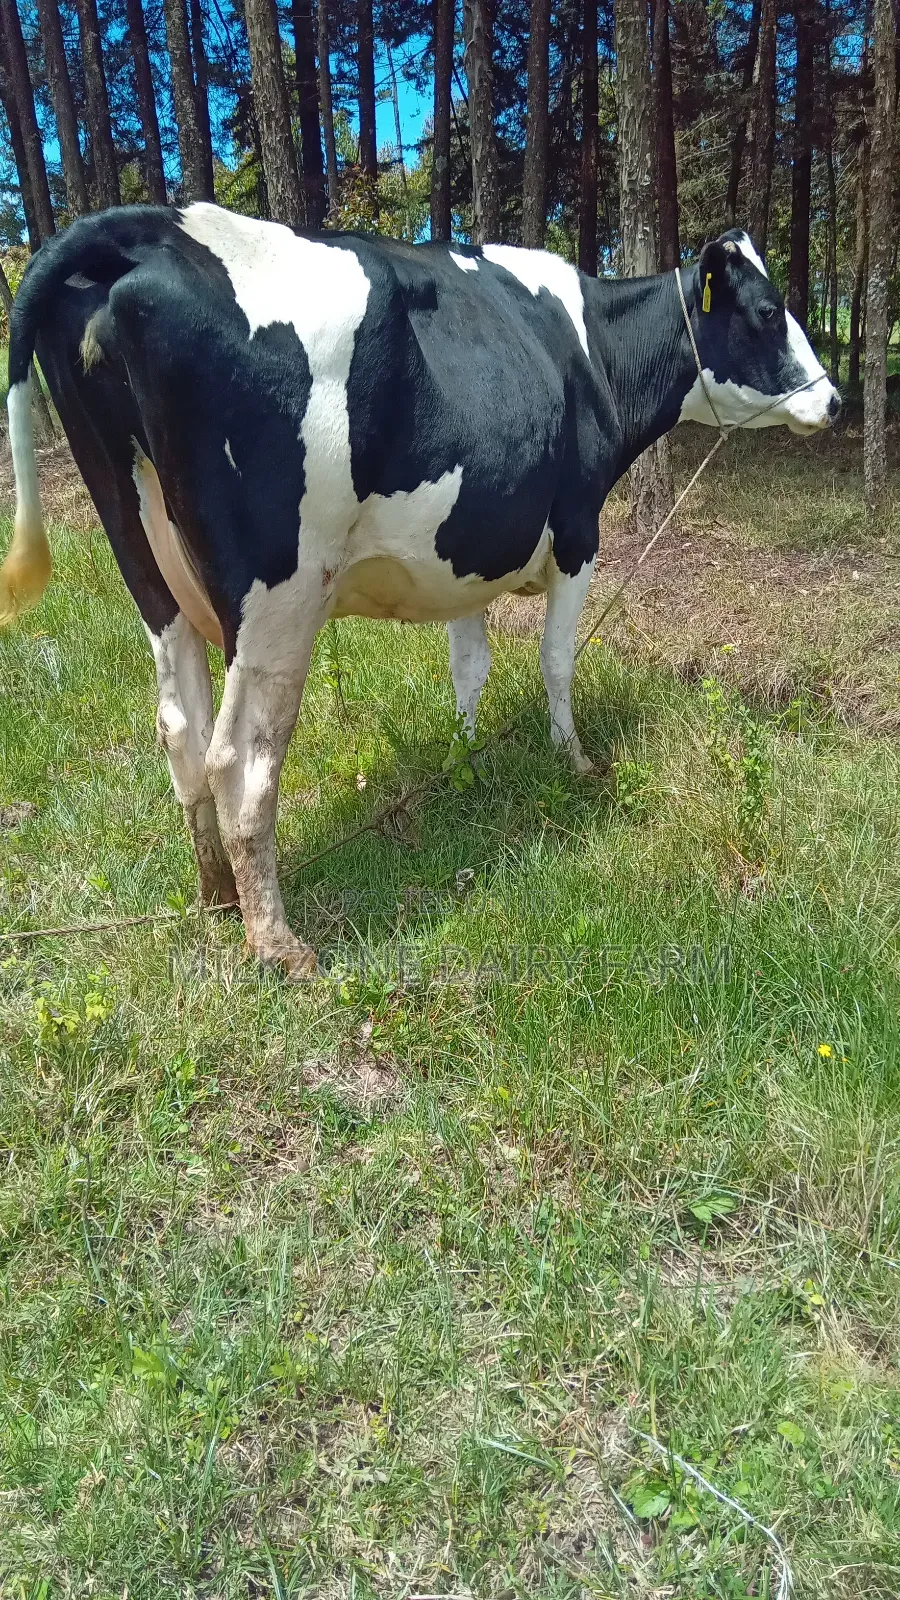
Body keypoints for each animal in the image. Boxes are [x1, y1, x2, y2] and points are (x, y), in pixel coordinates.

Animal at [0, 206, 839, 975]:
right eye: (768, 311)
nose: (834, 402)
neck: (590, 350)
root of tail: (149, 226)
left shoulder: (462, 558)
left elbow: (468, 669)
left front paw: (466, 765)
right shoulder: (579, 532)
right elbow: (556, 661)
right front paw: (574, 761)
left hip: (146, 560)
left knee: (180, 727)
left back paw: (218, 896)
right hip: (278, 592)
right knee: (238, 754)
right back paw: (277, 943)